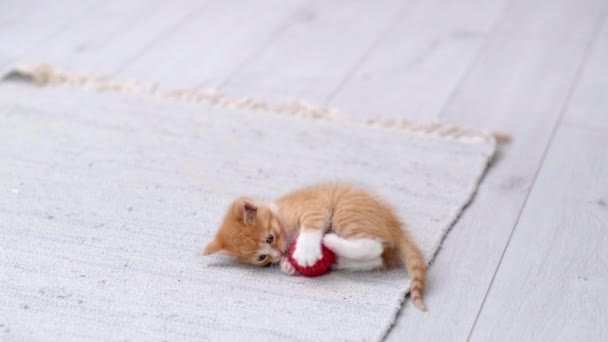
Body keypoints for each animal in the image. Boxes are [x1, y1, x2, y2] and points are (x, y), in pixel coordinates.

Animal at [204, 183, 428, 312]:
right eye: (261, 258)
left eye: (269, 238)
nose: (277, 254)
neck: (280, 214)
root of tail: (395, 227)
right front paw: (288, 266)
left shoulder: (314, 206)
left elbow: (312, 223)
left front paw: (305, 251)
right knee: (377, 256)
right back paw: (337, 258)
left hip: (346, 211)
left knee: (373, 246)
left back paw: (330, 241)